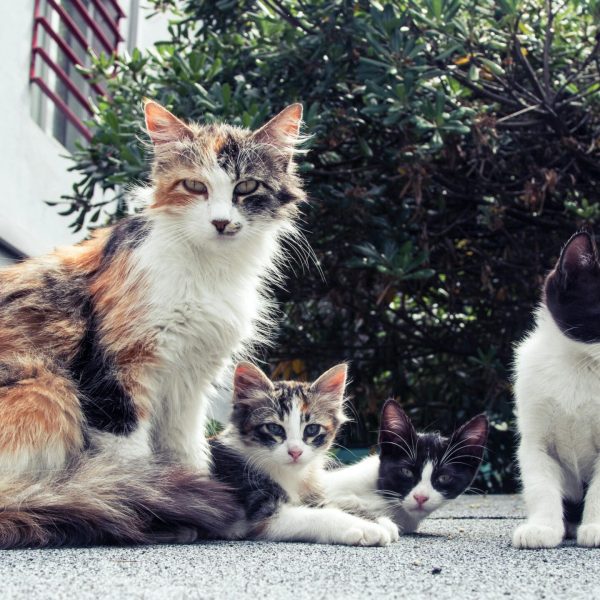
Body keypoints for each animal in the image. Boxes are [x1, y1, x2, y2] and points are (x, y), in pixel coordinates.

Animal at [0, 101, 308, 548]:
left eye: (247, 187)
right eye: (195, 186)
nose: (221, 222)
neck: (209, 271)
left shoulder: (190, 378)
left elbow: (185, 449)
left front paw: (194, 498)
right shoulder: (119, 369)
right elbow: (132, 462)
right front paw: (155, 508)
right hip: (47, 386)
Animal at [210, 364, 398, 548]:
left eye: (312, 429)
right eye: (274, 428)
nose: (295, 452)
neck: (291, 475)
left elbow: (331, 504)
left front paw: (377, 520)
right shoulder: (262, 512)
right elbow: (321, 515)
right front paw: (367, 527)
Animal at [512, 231, 600, 548]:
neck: (581, 366)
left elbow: (599, 491)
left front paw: (595, 527)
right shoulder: (535, 439)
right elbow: (541, 486)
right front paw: (542, 528)